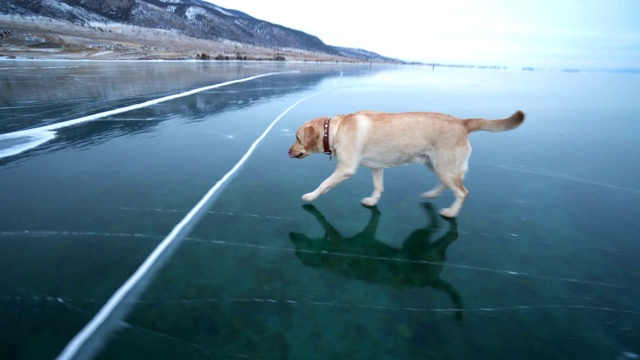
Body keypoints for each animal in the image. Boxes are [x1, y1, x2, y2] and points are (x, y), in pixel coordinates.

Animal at [288, 109, 524, 217]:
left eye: (297, 138)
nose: (288, 151)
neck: (335, 130)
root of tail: (462, 122)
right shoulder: (376, 166)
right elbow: (378, 186)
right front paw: (373, 201)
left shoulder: (346, 169)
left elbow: (324, 184)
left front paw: (311, 196)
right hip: (436, 165)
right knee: (449, 185)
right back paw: (431, 195)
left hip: (444, 167)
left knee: (462, 192)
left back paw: (451, 212)